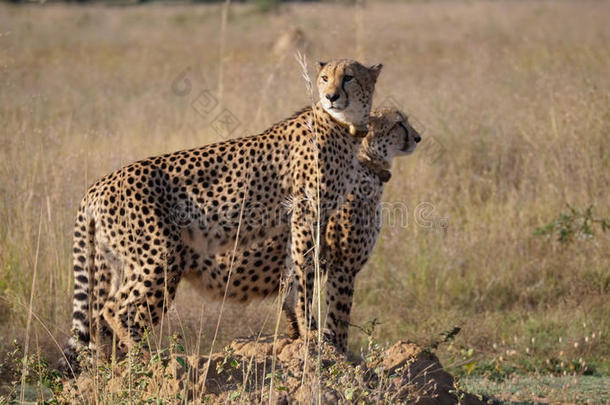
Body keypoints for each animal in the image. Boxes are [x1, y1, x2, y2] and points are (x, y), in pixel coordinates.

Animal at [59, 58, 378, 370]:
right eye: (324, 78)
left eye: (348, 77)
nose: (331, 96)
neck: (343, 125)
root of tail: (98, 185)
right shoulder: (306, 214)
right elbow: (305, 275)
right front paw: (311, 334)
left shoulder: (299, 221)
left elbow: (294, 272)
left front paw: (302, 336)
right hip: (159, 256)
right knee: (114, 308)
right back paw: (150, 358)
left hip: (119, 261)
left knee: (98, 316)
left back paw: (111, 366)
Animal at [185, 107, 420, 350]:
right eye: (399, 123)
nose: (417, 137)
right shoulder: (343, 268)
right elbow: (338, 320)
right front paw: (335, 350)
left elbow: (293, 306)